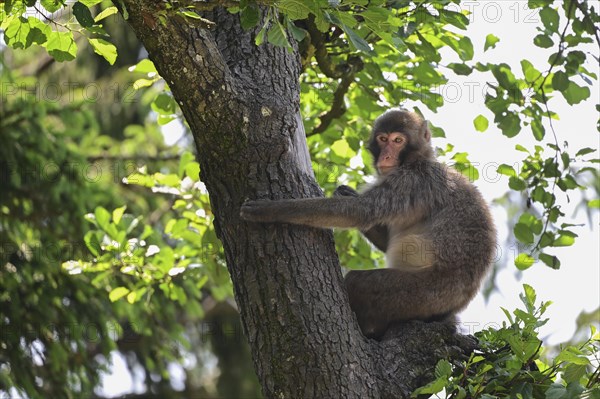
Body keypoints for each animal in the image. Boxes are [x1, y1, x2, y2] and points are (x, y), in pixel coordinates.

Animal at [239, 108, 496, 340]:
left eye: (398, 140)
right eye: (383, 139)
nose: (386, 156)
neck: (417, 159)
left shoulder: (411, 181)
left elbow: (359, 212)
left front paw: (271, 210)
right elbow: (383, 237)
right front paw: (345, 192)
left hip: (425, 294)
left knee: (360, 283)